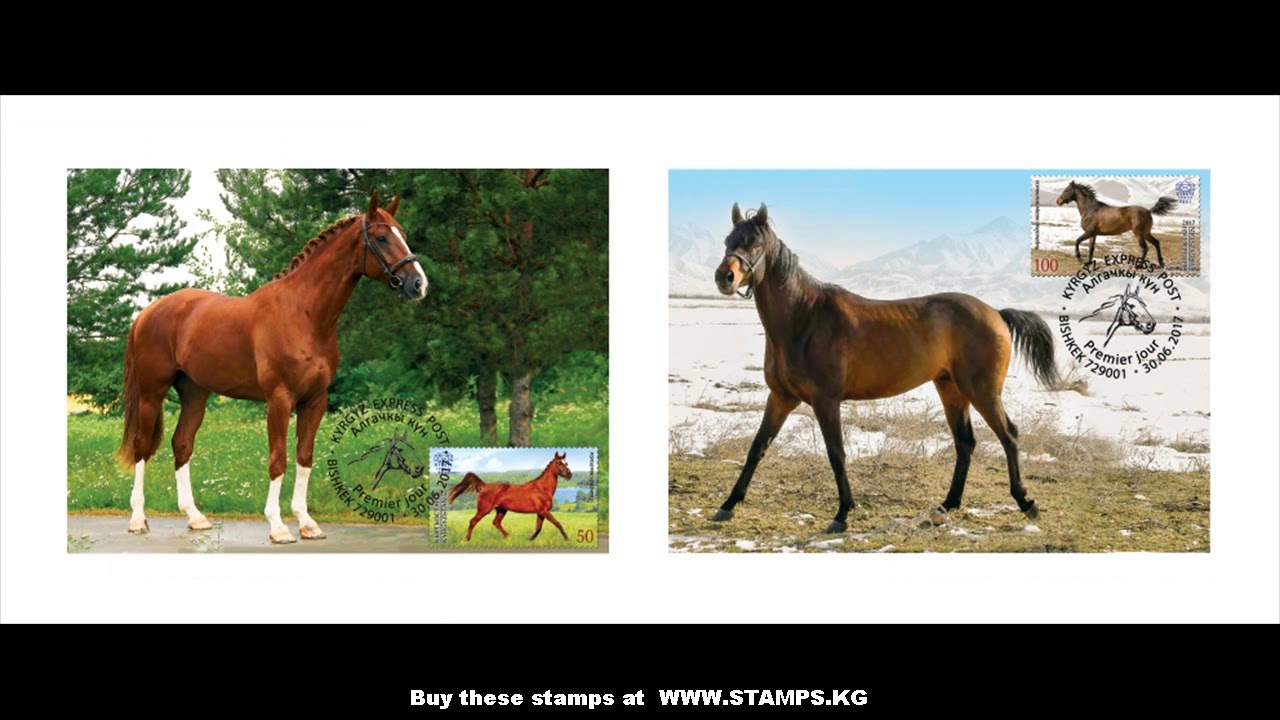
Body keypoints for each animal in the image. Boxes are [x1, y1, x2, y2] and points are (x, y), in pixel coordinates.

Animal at [115, 192, 428, 543]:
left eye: (403, 233)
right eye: (381, 237)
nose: (418, 284)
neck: (304, 313)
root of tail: (147, 313)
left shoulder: (315, 400)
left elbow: (304, 456)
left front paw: (307, 523)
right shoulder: (279, 399)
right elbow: (278, 460)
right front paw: (278, 526)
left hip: (195, 393)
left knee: (181, 444)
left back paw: (195, 517)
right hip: (151, 393)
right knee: (142, 447)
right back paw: (137, 519)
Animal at [711, 203, 1061, 533]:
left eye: (755, 242)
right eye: (728, 241)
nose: (724, 277)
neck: (804, 318)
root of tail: (996, 313)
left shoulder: (826, 401)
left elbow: (836, 454)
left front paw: (842, 514)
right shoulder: (781, 397)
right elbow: (757, 448)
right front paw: (727, 505)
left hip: (982, 391)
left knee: (1009, 435)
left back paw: (1025, 502)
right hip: (951, 388)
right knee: (965, 443)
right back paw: (946, 506)